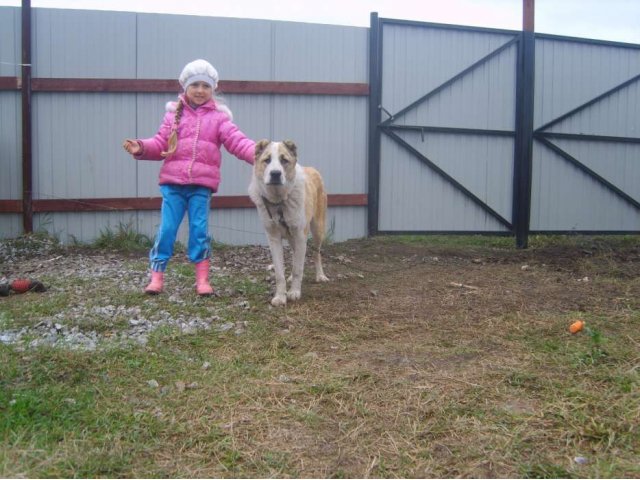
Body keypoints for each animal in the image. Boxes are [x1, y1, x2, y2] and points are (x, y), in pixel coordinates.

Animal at [249, 139, 328, 306]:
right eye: (267, 160)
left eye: (284, 160)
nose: (275, 174)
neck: (279, 202)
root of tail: (312, 168)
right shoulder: (273, 239)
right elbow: (280, 272)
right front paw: (280, 296)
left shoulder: (300, 235)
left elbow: (298, 268)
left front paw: (294, 292)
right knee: (295, 254)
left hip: (317, 230)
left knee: (316, 254)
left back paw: (320, 276)